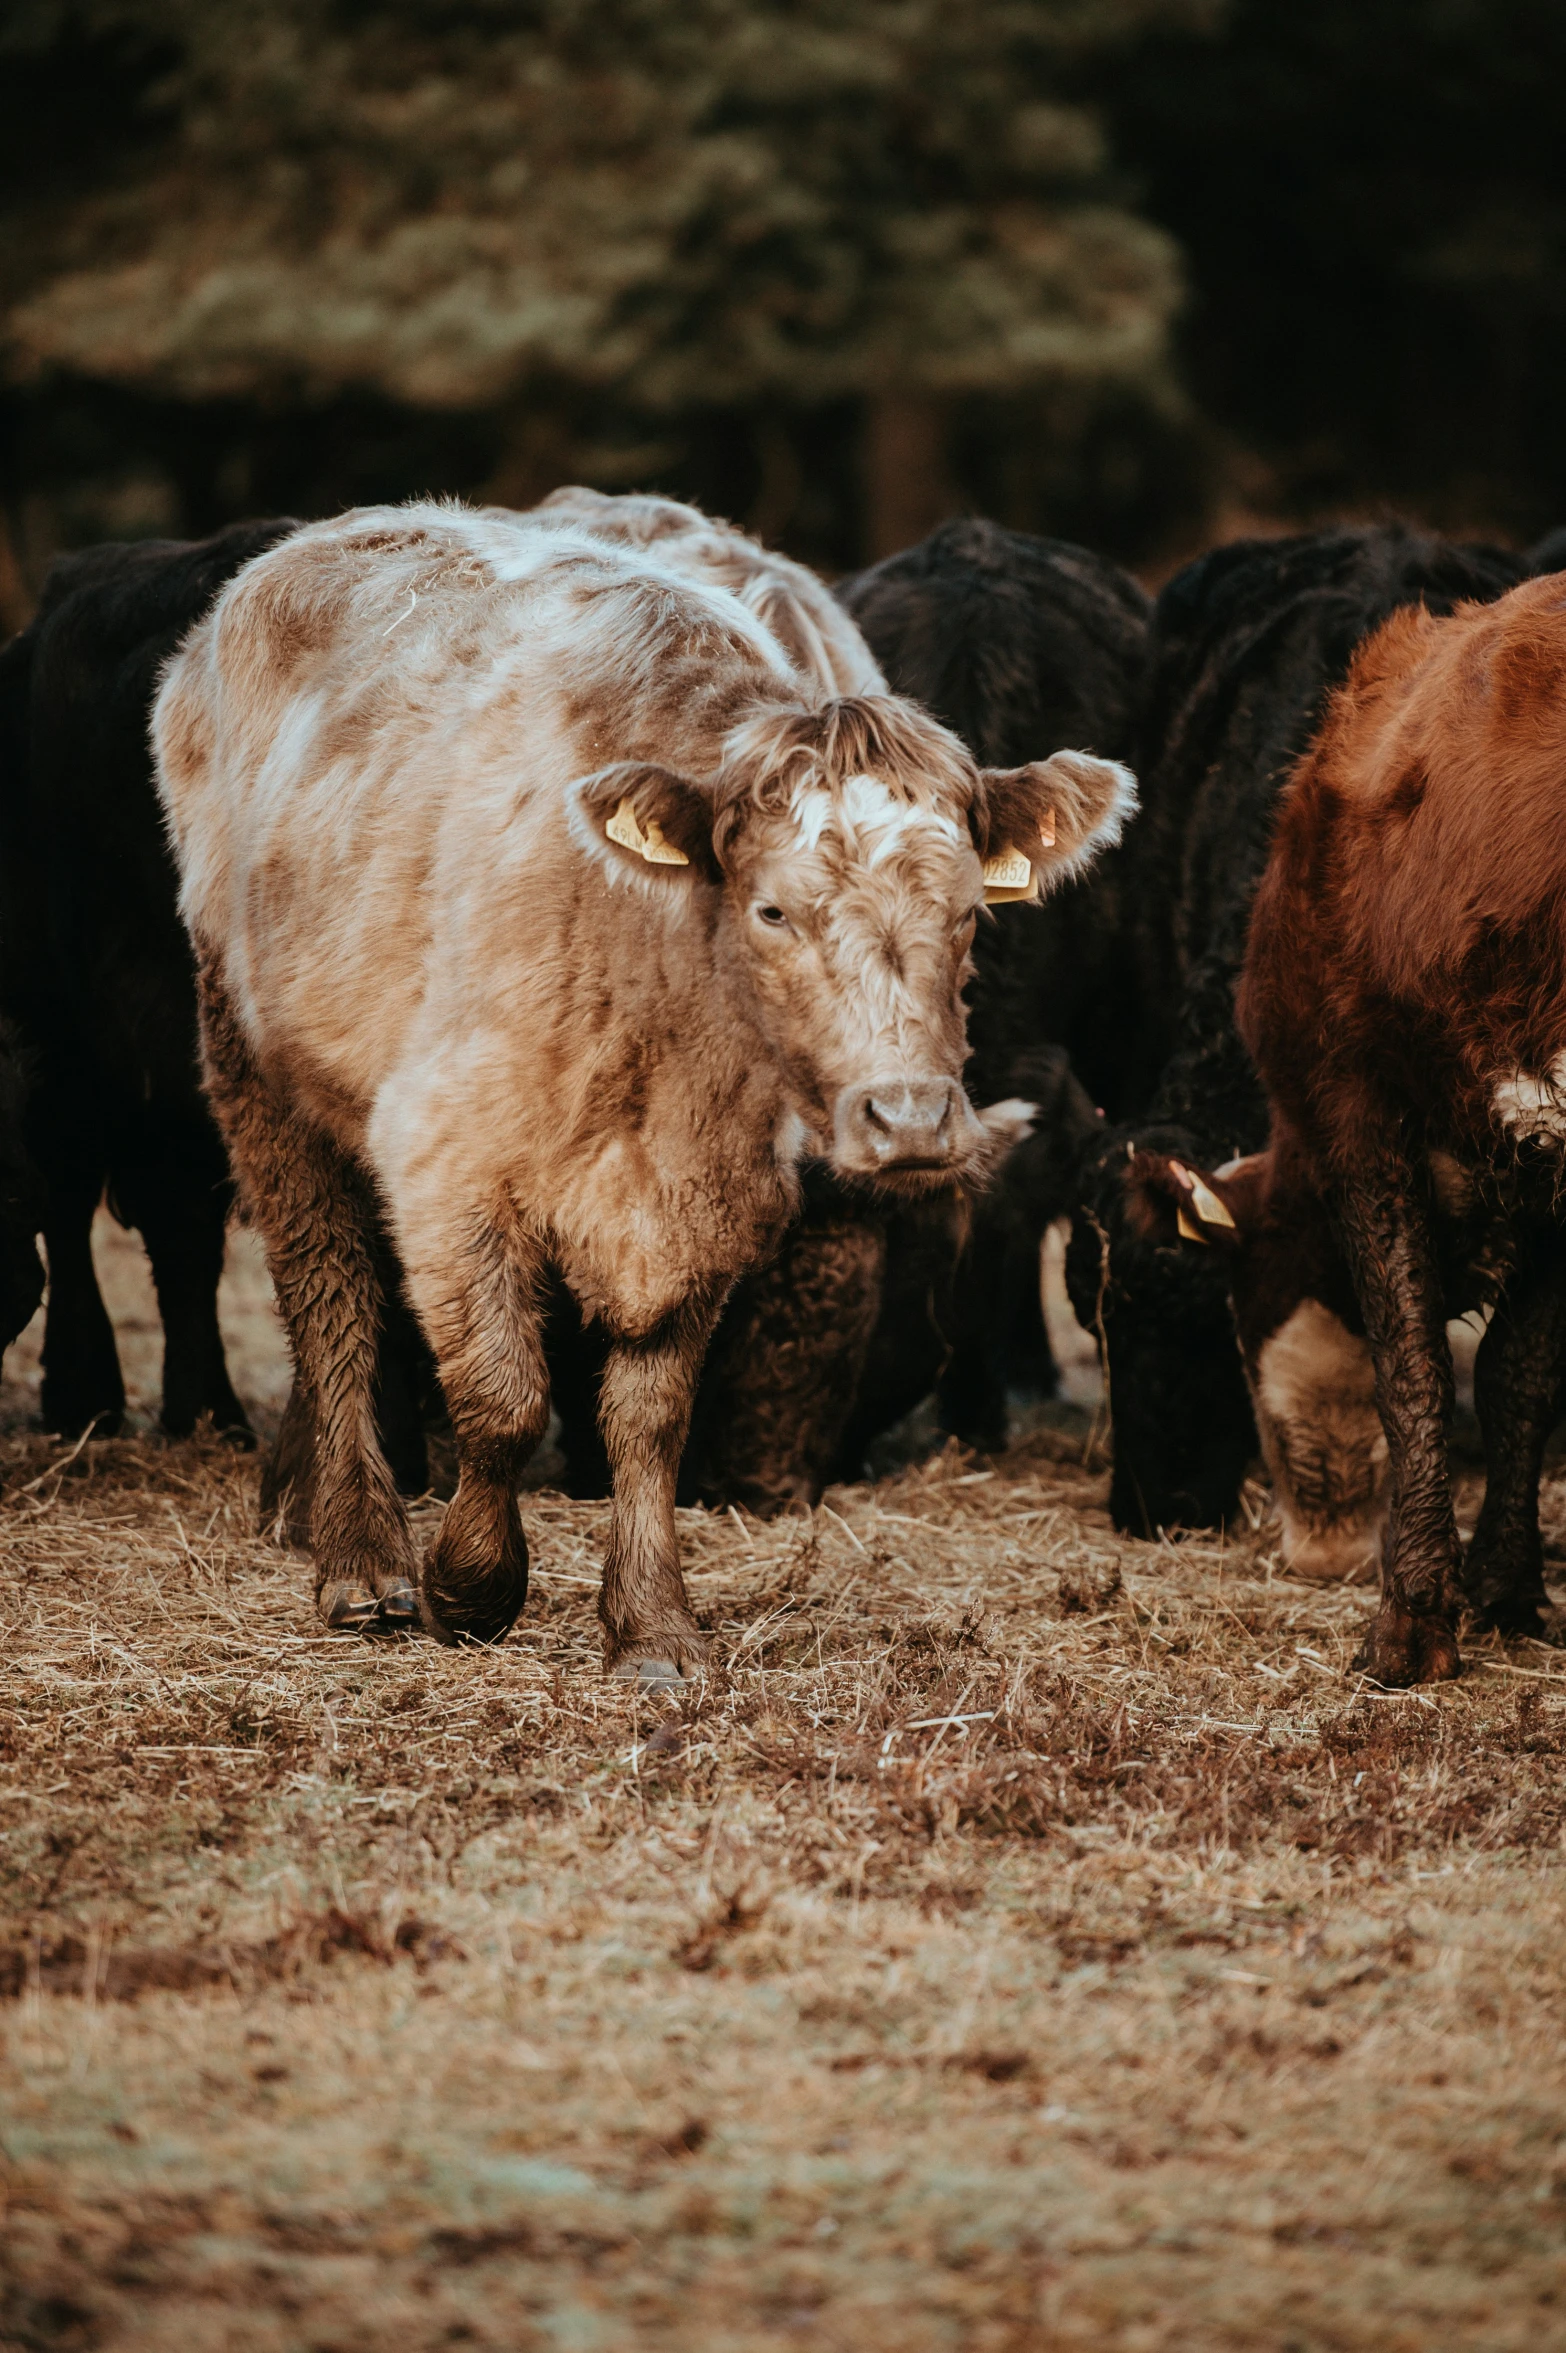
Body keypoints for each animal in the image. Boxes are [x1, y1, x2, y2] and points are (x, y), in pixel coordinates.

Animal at [152, 501, 1128, 1675]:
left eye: (970, 913)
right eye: (772, 911)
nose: (908, 1117)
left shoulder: (704, 1199)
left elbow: (650, 1414)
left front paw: (653, 1623)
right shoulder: (444, 1159)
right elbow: (501, 1395)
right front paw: (471, 1585)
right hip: (254, 1061)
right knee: (329, 1287)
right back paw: (353, 1552)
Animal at [1133, 569, 1561, 1684]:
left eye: (1235, 1327)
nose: (1316, 1550)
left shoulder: (1353, 1103)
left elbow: (1412, 1365)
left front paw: (1411, 1619)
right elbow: (1514, 1371)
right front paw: (1504, 1588)